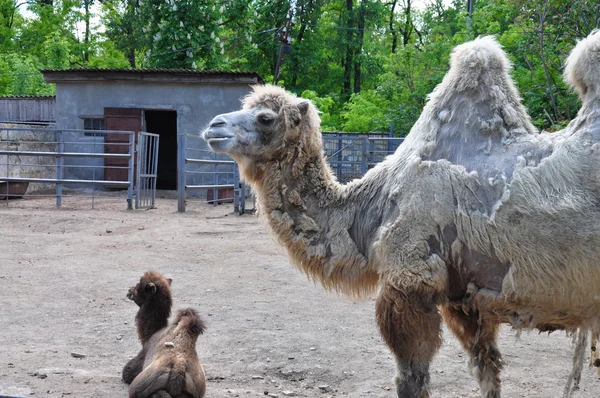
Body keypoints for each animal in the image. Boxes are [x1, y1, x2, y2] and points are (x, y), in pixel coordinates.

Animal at [200, 31, 600, 398]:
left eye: (266, 118)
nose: (213, 126)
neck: (372, 208)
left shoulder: (410, 279)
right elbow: (488, 373)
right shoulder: (465, 300)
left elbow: (412, 377)